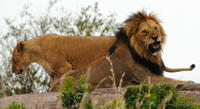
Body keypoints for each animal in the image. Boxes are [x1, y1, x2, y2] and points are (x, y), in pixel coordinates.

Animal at [54, 10, 195, 90]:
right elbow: (172, 80)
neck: (144, 53)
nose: (155, 37)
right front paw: (189, 82)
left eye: (156, 28)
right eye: (144, 32)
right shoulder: (147, 77)